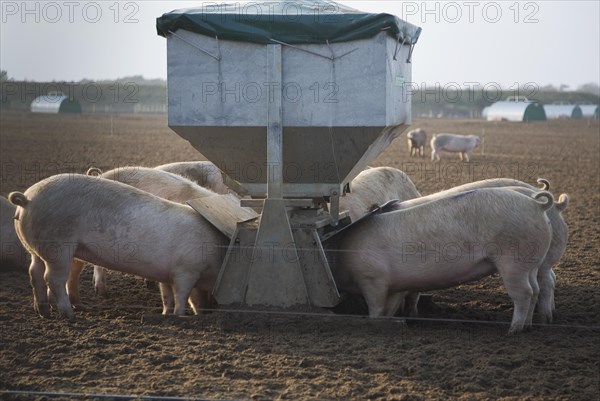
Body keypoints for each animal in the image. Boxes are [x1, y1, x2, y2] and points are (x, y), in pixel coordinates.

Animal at [8, 173, 229, 320]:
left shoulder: (166, 274)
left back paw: (44, 312)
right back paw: (70, 315)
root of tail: (27, 200)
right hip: (58, 247)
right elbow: (182, 295)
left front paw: (166, 314)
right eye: (213, 295)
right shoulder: (186, 271)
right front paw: (179, 317)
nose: (207, 312)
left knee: (34, 273)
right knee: (52, 278)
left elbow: (167, 295)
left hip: (36, 248)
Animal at [328, 188, 552, 334]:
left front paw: (372, 322)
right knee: (535, 289)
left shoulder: (372, 277)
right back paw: (528, 327)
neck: (341, 253)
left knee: (524, 293)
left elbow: (376, 307)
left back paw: (513, 331)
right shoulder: (395, 287)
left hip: (513, 259)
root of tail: (537, 205)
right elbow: (389, 309)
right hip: (532, 261)